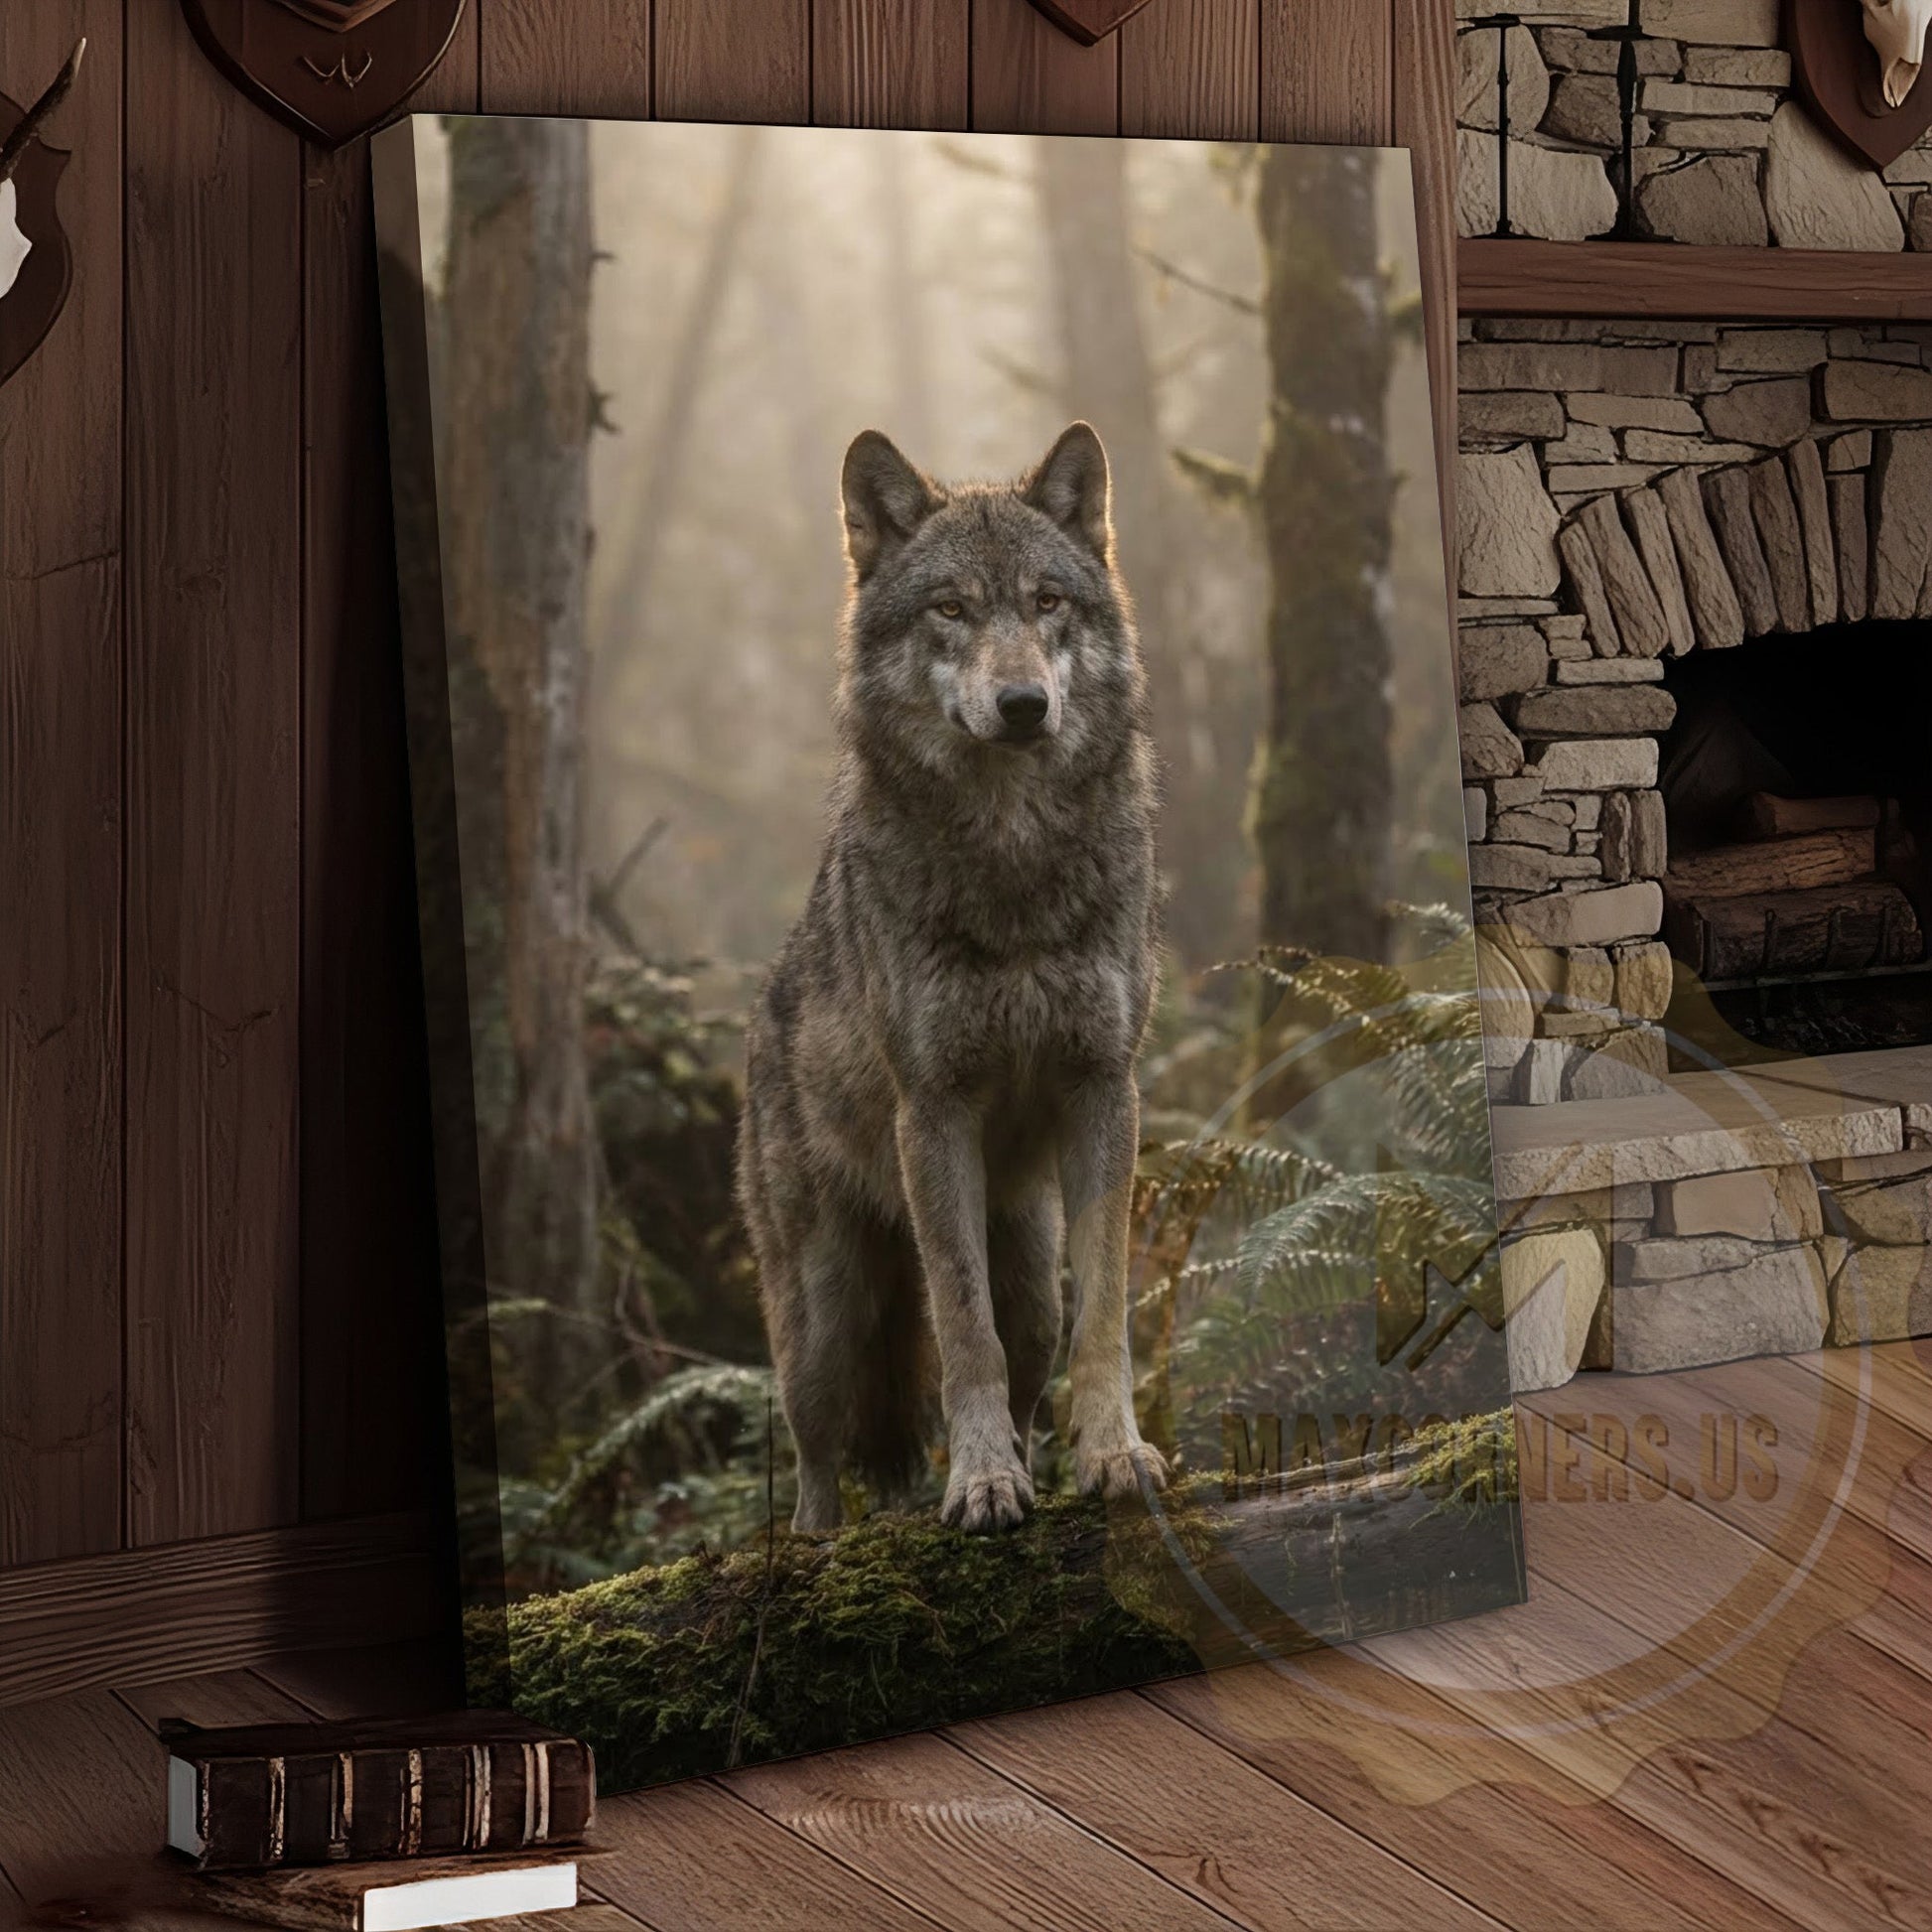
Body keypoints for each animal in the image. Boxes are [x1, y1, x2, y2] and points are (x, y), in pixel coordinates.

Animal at [736, 421, 1171, 1534]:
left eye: (1047, 602)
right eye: (950, 609)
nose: (1022, 704)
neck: (1011, 858)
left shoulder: (1105, 1089)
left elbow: (1104, 1312)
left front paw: (1114, 1455)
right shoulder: (932, 1110)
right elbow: (961, 1330)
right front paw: (976, 1483)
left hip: (1029, 1275)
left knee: (1028, 1355)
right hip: (825, 1316)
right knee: (815, 1452)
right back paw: (823, 1542)